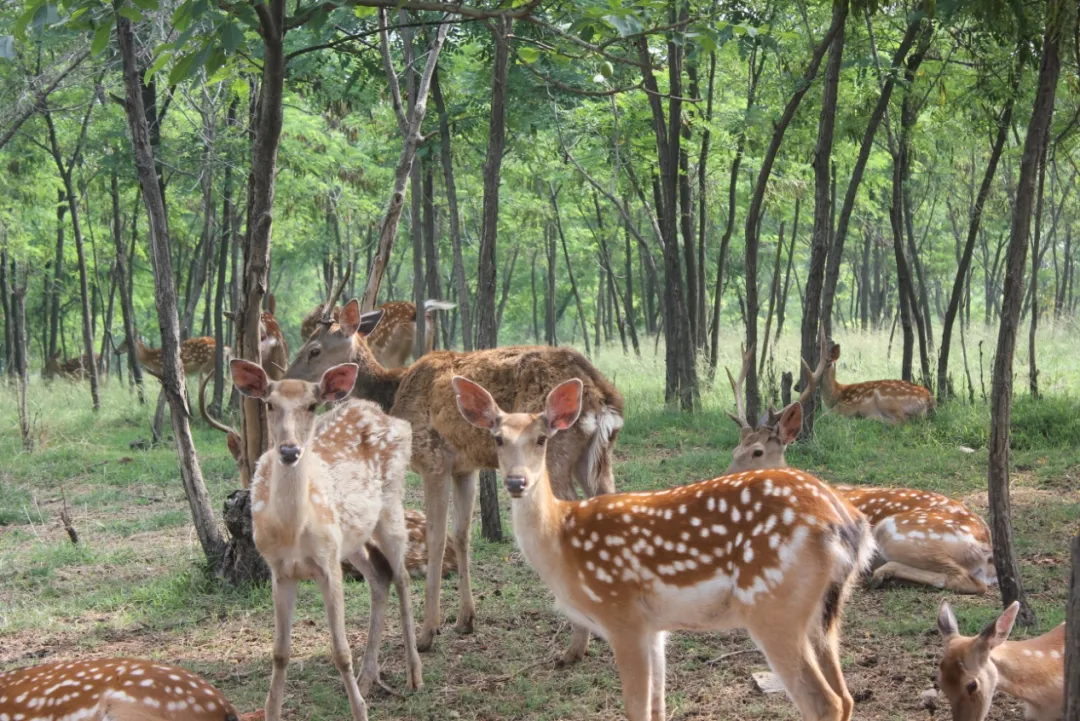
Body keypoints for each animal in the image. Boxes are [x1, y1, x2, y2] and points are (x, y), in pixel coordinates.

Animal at [229, 358, 422, 721]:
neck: (293, 530)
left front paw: (360, 712)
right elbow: (280, 652)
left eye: (311, 405)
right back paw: (369, 677)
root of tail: (391, 417)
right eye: (269, 403)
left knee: (402, 576)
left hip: (391, 507)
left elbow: (341, 651)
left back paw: (414, 675)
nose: (289, 450)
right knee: (380, 576)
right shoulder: (280, 571)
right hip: (352, 540)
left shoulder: (328, 565)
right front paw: (272, 710)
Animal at [452, 375, 873, 721]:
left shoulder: (621, 614)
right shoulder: (655, 627)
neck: (561, 542)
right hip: (824, 613)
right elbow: (658, 708)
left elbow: (637, 710)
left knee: (825, 702)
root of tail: (847, 520)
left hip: (774, 605)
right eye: (497, 439)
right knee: (846, 696)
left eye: (541, 439)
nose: (516, 482)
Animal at [724, 341, 995, 595]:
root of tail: (986, 544)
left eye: (757, 452)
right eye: (734, 450)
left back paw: (881, 574)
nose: (725, 481)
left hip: (901, 531)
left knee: (967, 580)